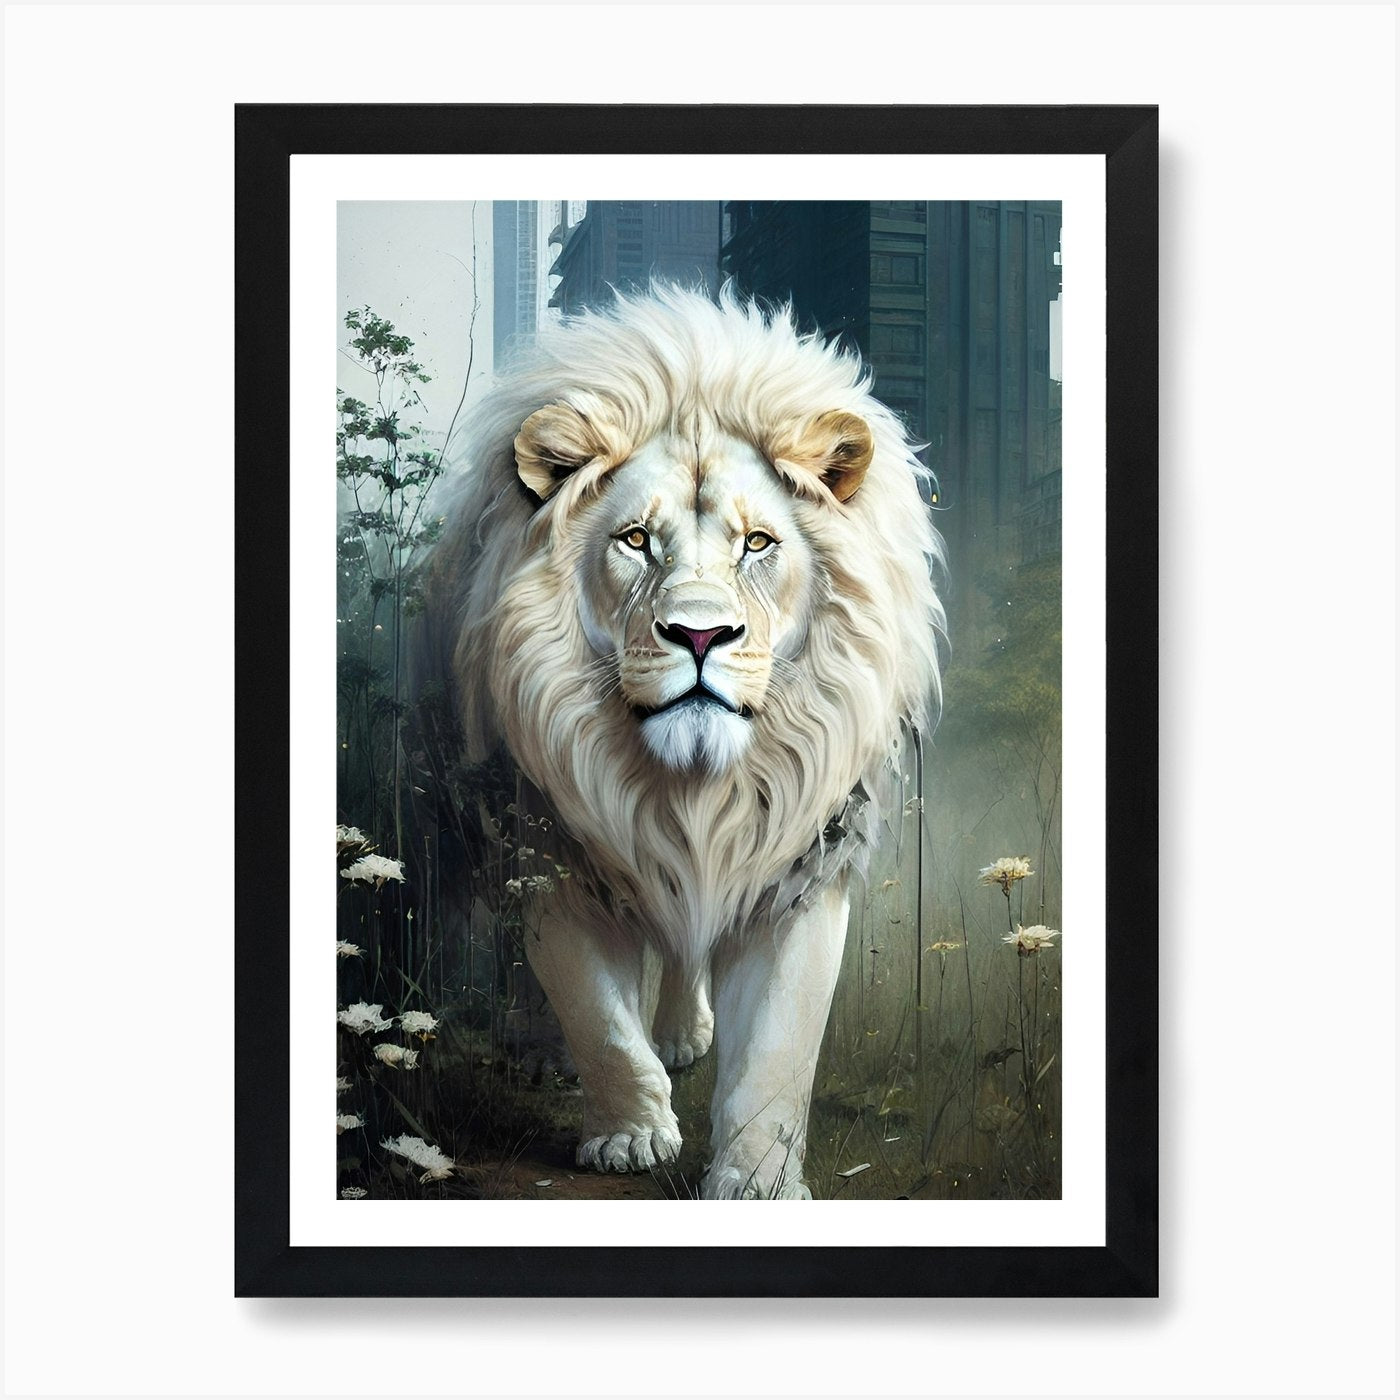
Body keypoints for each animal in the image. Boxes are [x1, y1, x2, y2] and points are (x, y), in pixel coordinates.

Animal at [419, 285, 945, 1198]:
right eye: (635, 540)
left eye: (758, 543)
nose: (700, 635)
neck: (696, 786)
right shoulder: (555, 850)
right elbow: (596, 1015)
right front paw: (630, 1135)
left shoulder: (800, 864)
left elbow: (778, 1047)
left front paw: (758, 1179)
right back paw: (543, 1049)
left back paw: (681, 1034)